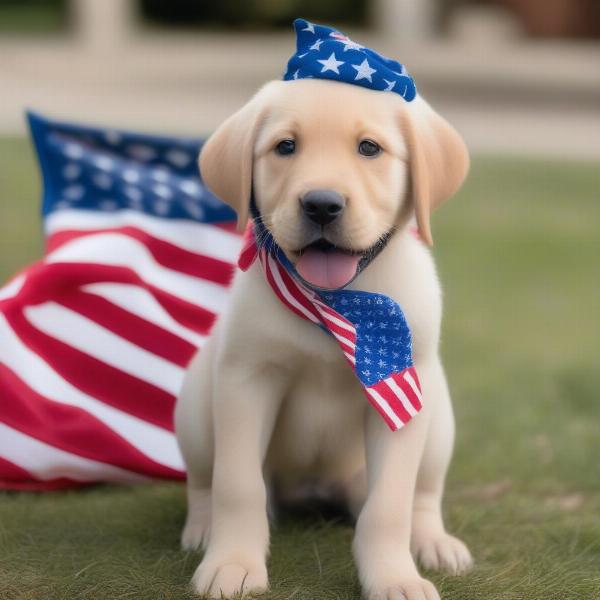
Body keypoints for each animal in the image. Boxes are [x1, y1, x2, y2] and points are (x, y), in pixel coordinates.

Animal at [175, 79, 474, 600]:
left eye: (369, 148)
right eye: (285, 147)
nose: (321, 204)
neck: (337, 300)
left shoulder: (400, 389)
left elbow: (390, 505)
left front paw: (393, 577)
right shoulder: (246, 380)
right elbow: (237, 486)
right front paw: (233, 563)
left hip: (437, 419)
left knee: (422, 495)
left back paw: (433, 542)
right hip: (195, 406)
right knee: (205, 483)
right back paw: (203, 529)